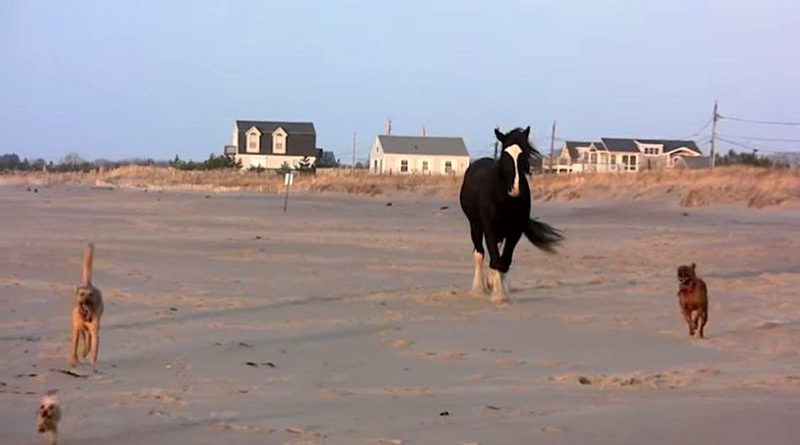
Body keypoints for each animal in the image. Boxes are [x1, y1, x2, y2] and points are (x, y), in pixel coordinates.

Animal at [70, 243, 103, 372]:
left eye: (91, 294)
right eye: (81, 294)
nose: (86, 301)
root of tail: (88, 283)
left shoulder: (94, 333)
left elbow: (94, 351)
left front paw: (93, 365)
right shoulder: (76, 329)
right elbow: (74, 347)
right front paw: (74, 360)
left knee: (88, 341)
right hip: (81, 329)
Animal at [460, 126, 564, 304]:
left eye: (525, 153)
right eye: (505, 155)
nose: (515, 189)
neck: (504, 198)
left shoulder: (515, 231)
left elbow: (505, 260)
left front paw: (502, 291)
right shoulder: (490, 229)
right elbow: (495, 259)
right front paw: (498, 295)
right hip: (475, 225)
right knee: (479, 253)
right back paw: (479, 288)